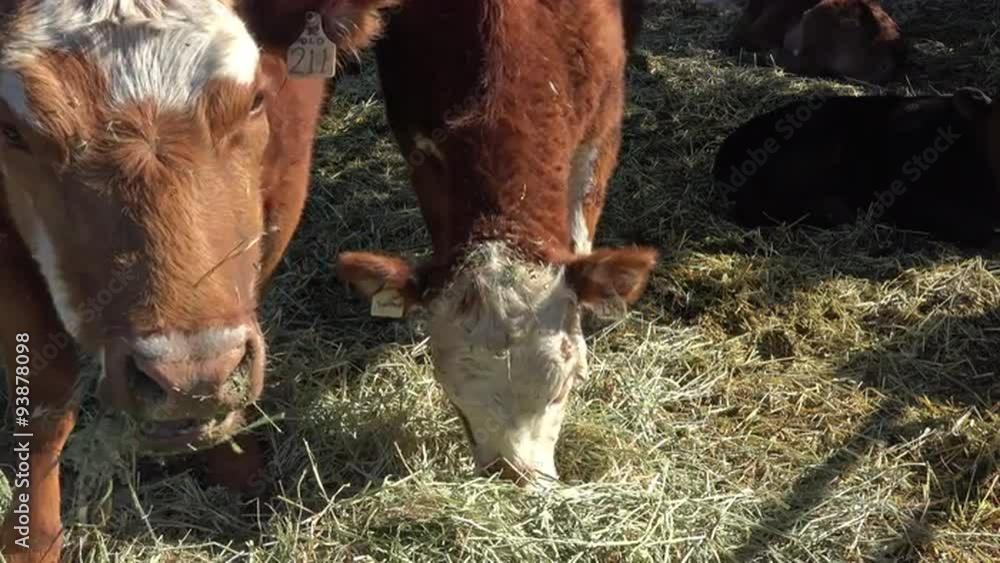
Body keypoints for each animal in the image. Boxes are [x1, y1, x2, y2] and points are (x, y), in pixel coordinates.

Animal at [0, 1, 397, 561]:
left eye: (255, 102)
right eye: (12, 132)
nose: (189, 378)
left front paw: (236, 460)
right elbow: (45, 398)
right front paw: (30, 538)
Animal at [336, 0, 658, 486]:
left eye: (563, 389)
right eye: (453, 398)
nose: (518, 477)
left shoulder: (601, 130)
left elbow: (581, 238)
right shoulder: (417, 138)